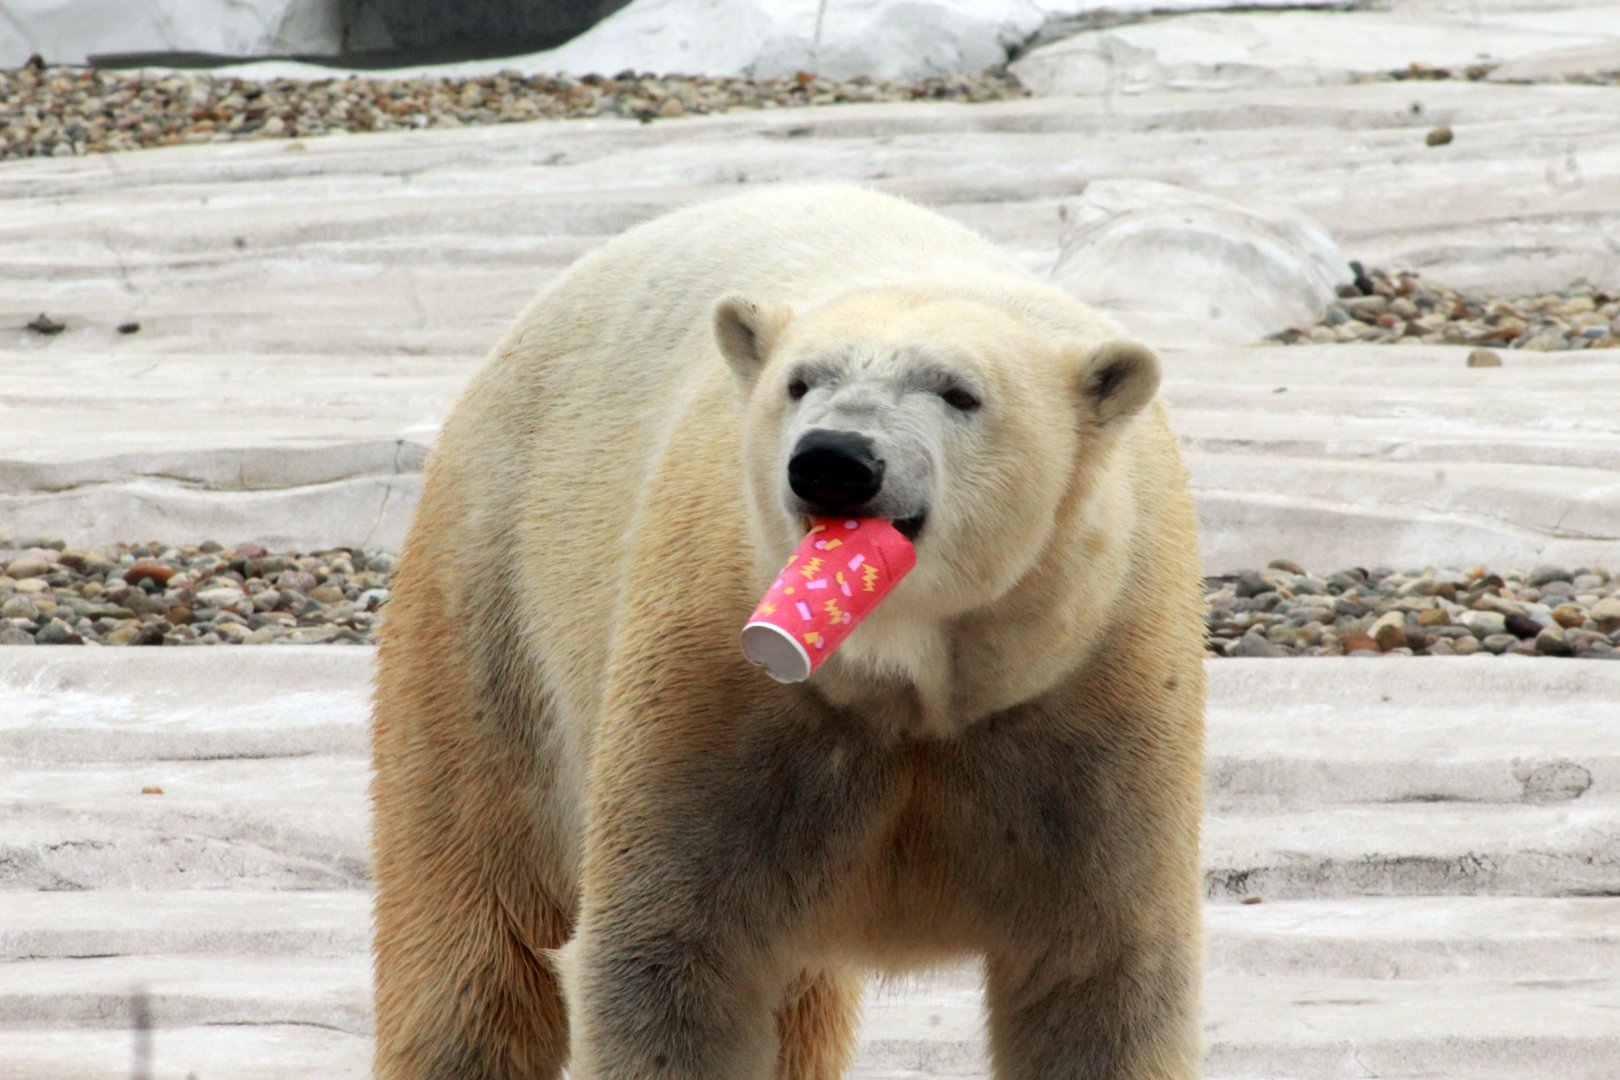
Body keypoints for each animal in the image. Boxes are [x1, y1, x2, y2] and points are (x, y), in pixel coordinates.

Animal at [370, 183, 1206, 1080]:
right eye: (802, 382)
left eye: (959, 392)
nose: (835, 459)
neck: (905, 678)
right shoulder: (717, 687)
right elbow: (668, 953)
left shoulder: (1090, 703)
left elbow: (1101, 974)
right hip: (495, 605)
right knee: (476, 929)